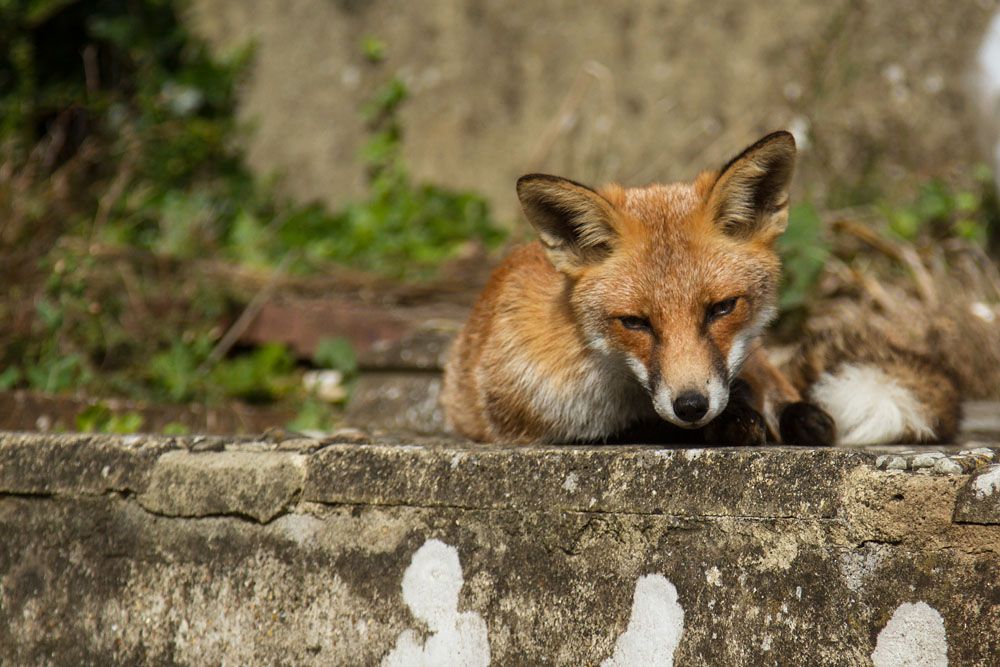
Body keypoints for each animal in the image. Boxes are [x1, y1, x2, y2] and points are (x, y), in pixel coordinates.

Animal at [440, 131, 961, 446]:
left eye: (722, 308)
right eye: (634, 322)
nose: (692, 406)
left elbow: (774, 401)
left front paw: (771, 415)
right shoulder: (541, 423)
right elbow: (656, 426)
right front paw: (729, 423)